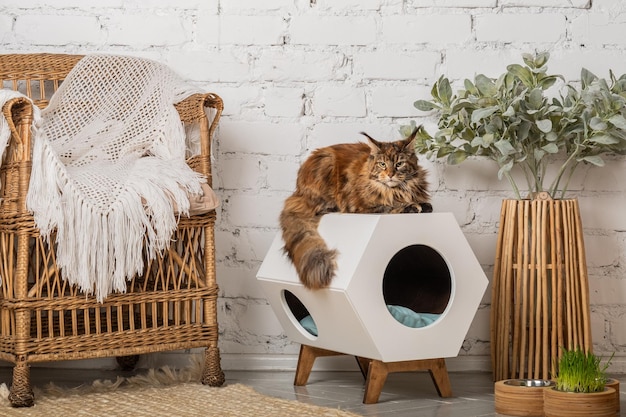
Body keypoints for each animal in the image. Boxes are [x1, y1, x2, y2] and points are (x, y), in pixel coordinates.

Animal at [278, 129, 428, 290]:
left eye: (399, 164)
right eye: (382, 164)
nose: (390, 175)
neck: (396, 191)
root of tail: (297, 191)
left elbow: (425, 204)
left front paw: (421, 205)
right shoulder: (363, 207)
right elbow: (390, 207)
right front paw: (410, 206)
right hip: (326, 167)